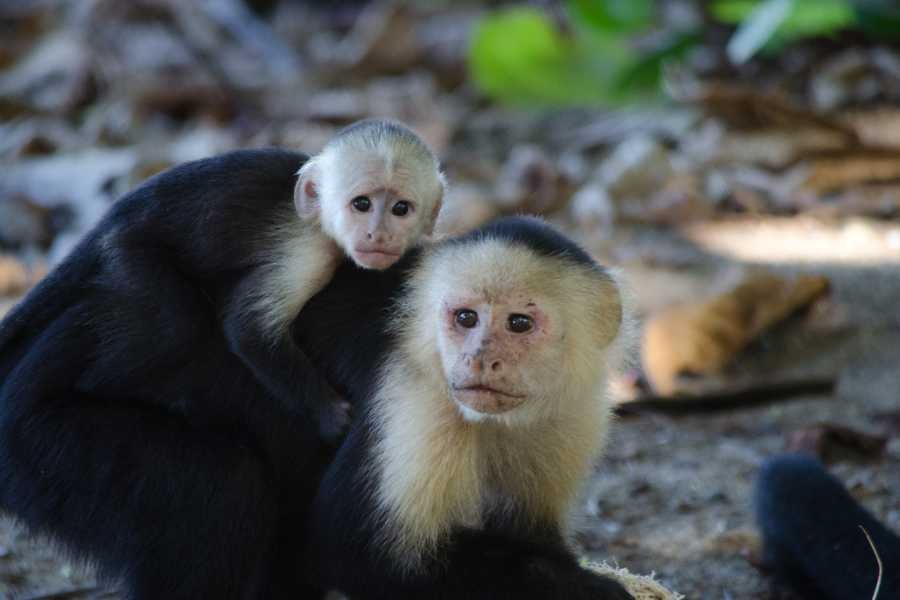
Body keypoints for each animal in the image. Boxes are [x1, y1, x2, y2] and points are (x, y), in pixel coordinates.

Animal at [0, 119, 442, 596]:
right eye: (361, 204)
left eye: (400, 208)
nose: (378, 235)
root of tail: (111, 219)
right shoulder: (305, 251)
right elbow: (248, 328)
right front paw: (331, 416)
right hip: (128, 257)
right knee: (173, 322)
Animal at [296, 217, 632, 600]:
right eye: (466, 317)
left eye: (519, 323)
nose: (480, 359)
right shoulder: (415, 393)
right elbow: (362, 553)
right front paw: (585, 586)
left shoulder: (575, 411)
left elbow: (529, 527)